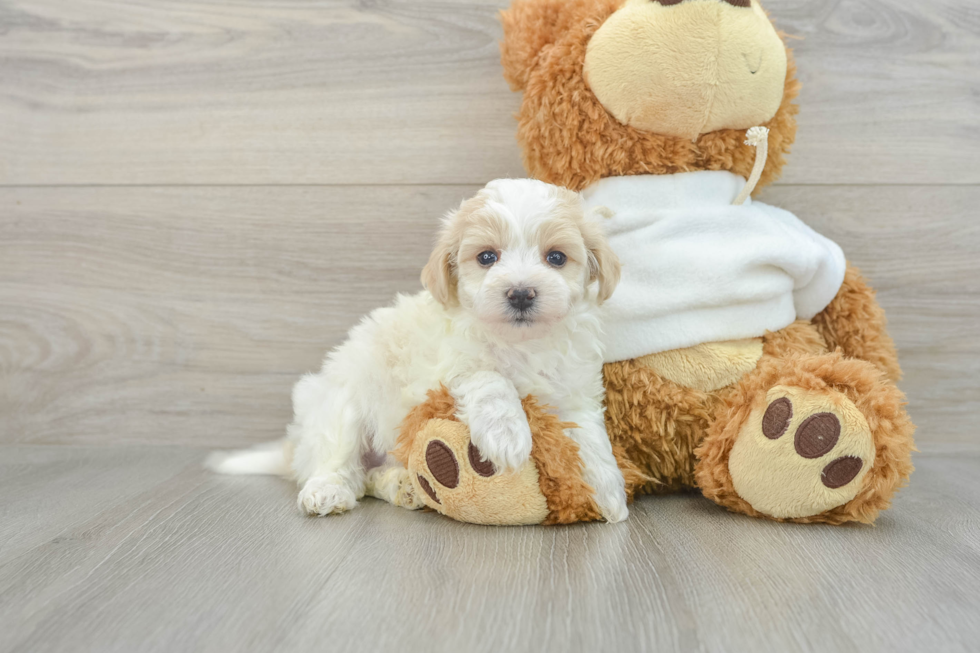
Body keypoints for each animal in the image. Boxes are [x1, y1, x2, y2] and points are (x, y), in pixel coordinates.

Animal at [212, 181, 632, 524]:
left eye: (556, 258)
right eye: (487, 257)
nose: (520, 293)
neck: (521, 343)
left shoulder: (573, 390)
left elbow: (589, 434)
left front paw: (609, 491)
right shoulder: (443, 372)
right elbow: (489, 380)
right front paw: (508, 435)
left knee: (367, 478)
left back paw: (403, 485)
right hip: (338, 402)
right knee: (339, 462)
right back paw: (328, 490)